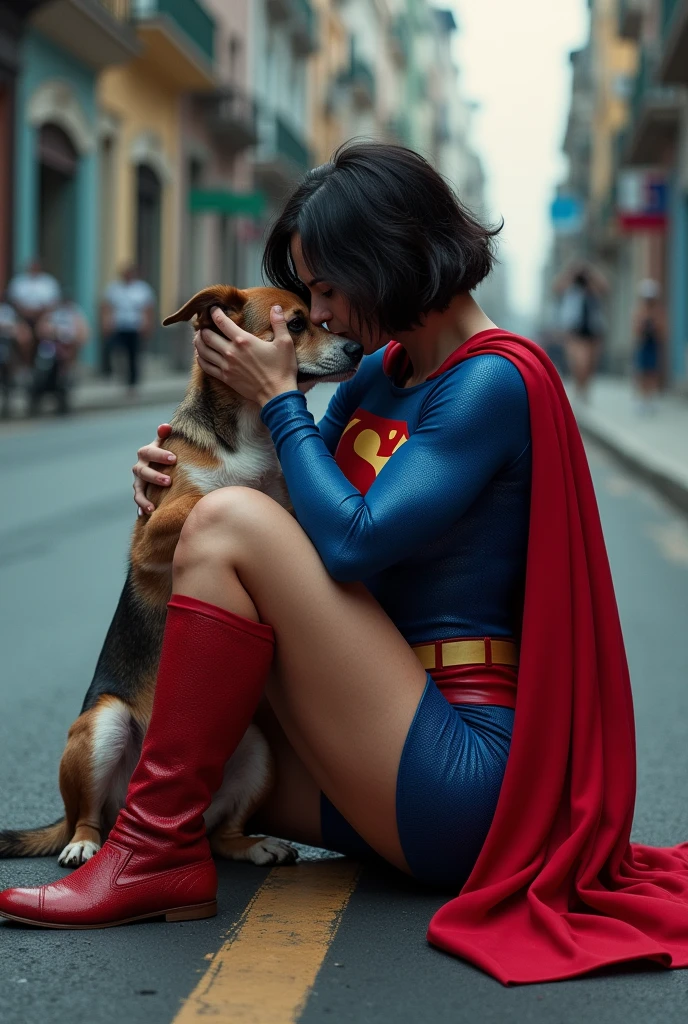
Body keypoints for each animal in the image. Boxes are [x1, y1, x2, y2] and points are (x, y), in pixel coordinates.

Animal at [0, 288, 364, 872]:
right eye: (298, 324)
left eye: (323, 319)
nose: (357, 348)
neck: (251, 431)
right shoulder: (151, 533)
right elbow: (215, 495)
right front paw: (238, 487)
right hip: (102, 726)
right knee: (88, 816)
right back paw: (84, 843)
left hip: (255, 751)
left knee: (218, 832)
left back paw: (251, 843)